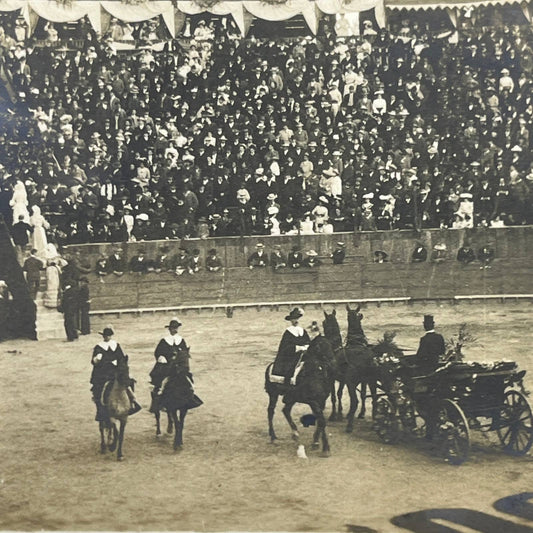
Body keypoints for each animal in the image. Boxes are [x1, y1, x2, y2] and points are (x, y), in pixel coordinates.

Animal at [264, 326, 334, 456]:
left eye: (330, 344)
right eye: (319, 346)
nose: (333, 362)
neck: (314, 374)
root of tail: (270, 365)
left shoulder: (321, 401)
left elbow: (320, 421)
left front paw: (316, 441)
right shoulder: (313, 402)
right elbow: (322, 421)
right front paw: (325, 447)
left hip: (291, 397)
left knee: (286, 410)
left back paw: (295, 433)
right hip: (273, 394)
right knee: (271, 411)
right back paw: (273, 436)